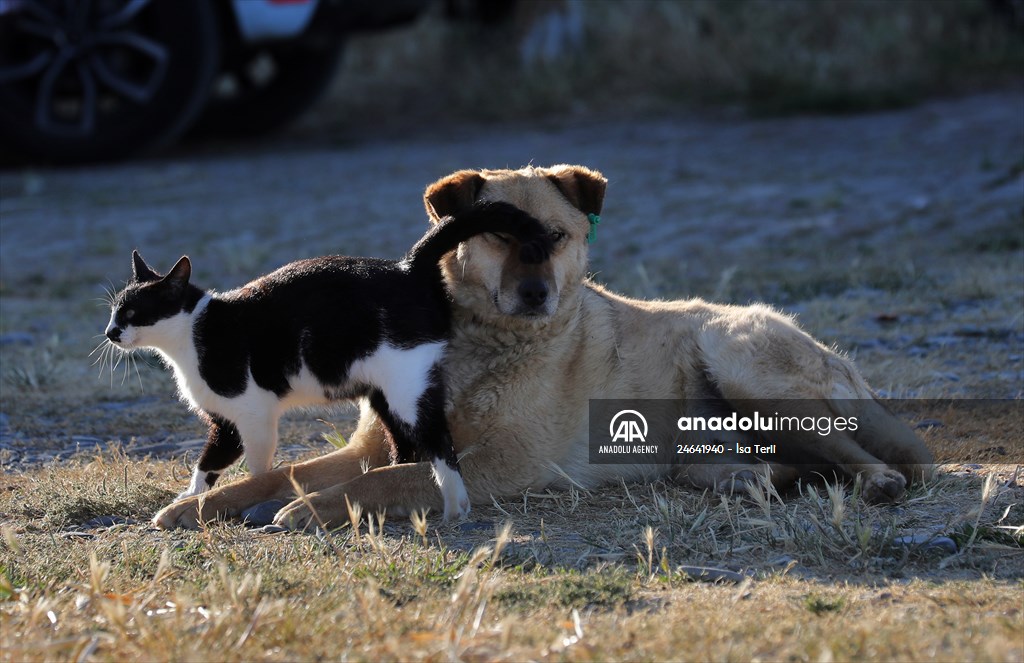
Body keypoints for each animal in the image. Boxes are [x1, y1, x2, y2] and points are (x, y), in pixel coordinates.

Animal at [103, 201, 552, 524]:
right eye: (113, 311)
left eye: (134, 313)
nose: (110, 333)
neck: (193, 333)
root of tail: (408, 268)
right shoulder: (224, 423)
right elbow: (207, 464)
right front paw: (195, 495)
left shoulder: (251, 415)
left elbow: (253, 467)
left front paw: (234, 496)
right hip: (384, 394)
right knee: (405, 447)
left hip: (408, 388)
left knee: (439, 442)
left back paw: (456, 503)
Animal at [153, 162, 937, 532]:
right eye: (499, 235)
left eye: (555, 236)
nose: (535, 294)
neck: (475, 347)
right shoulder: (369, 447)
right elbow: (282, 473)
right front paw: (198, 505)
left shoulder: (499, 463)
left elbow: (381, 483)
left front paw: (314, 510)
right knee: (772, 464)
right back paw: (754, 479)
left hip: (737, 353)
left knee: (865, 456)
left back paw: (872, 481)